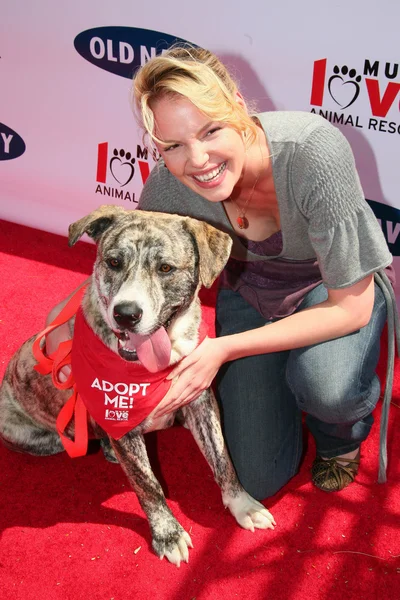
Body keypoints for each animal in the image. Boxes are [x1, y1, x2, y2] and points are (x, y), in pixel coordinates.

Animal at [0, 205, 276, 564]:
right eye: (114, 262)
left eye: (165, 268)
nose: (126, 314)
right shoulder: (121, 418)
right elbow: (148, 484)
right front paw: (168, 535)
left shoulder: (201, 402)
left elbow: (223, 458)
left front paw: (242, 505)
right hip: (44, 437)